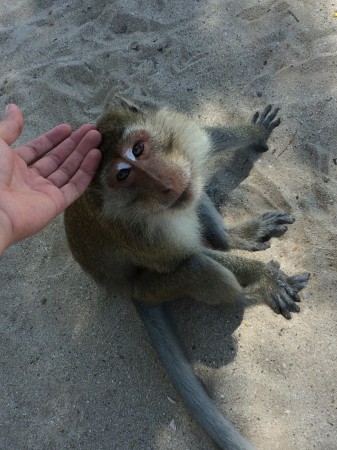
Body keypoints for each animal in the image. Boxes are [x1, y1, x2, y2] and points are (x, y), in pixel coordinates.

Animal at [64, 97, 308, 450]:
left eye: (138, 148)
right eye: (122, 175)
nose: (166, 184)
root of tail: (125, 289)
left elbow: (208, 141)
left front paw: (256, 132)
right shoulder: (132, 230)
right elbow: (182, 259)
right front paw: (265, 278)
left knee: (196, 194)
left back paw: (232, 237)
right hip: (151, 287)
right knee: (204, 269)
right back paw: (246, 294)